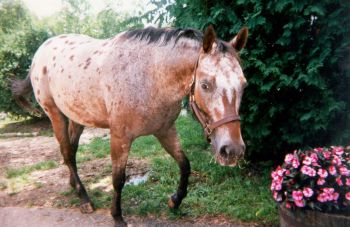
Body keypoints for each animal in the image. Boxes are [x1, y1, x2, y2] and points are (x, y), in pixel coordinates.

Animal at [11, 25, 249, 225]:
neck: (150, 75)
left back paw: (74, 186)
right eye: (205, 85)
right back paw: (84, 198)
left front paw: (175, 201)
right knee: (67, 153)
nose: (232, 151)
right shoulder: (120, 137)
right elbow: (118, 179)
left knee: (72, 151)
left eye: (244, 84)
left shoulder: (165, 131)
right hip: (55, 115)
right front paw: (117, 216)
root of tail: (40, 52)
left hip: (77, 118)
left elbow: (185, 165)